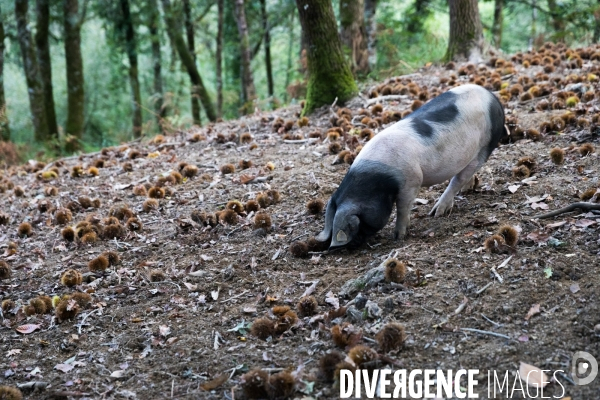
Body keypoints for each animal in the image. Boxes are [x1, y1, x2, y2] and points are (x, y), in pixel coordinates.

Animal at [318, 83, 506, 248]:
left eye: (355, 223)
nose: (346, 246)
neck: (378, 180)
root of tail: (493, 98)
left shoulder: (411, 181)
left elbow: (402, 209)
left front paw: (398, 237)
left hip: (486, 145)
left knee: (459, 178)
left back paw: (436, 213)